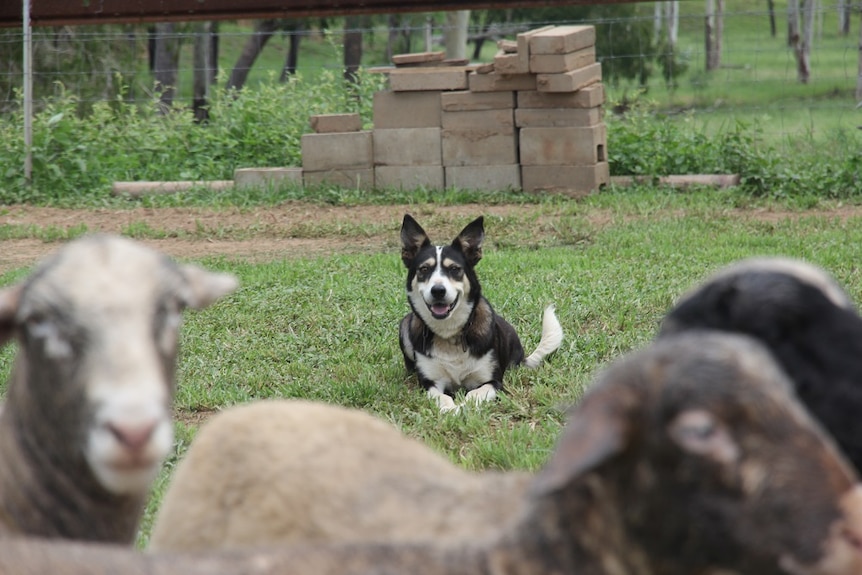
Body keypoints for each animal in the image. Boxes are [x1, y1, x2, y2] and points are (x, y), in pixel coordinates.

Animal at [400, 214, 568, 412]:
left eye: (455, 269)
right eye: (424, 269)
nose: (438, 291)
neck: (450, 335)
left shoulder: (493, 382)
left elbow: (474, 394)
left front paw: (463, 408)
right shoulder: (429, 383)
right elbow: (442, 397)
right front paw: (451, 410)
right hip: (405, 325)